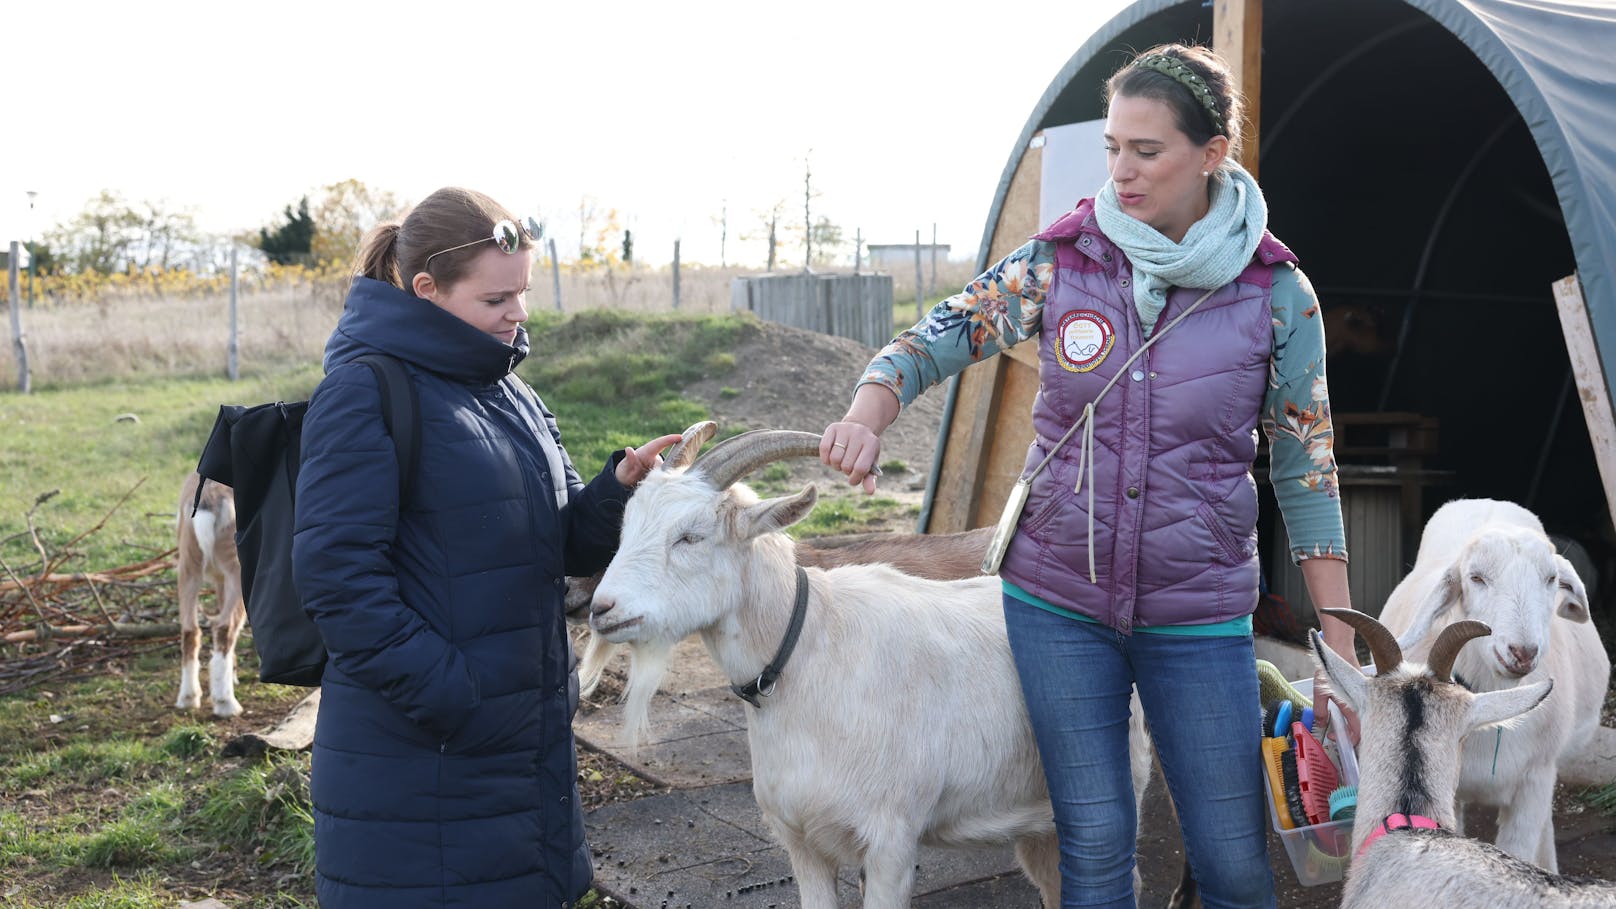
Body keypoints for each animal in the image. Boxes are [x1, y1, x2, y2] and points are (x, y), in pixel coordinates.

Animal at [175, 465, 247, 714]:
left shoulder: (219, 580)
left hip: (188, 565)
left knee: (190, 630)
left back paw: (188, 699)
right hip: (238, 570)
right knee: (225, 628)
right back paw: (227, 704)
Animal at [588, 423, 1157, 905]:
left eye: (690, 536)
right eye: (626, 526)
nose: (601, 608)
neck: (810, 653)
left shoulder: (890, 843)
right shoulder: (802, 843)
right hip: (1038, 824)